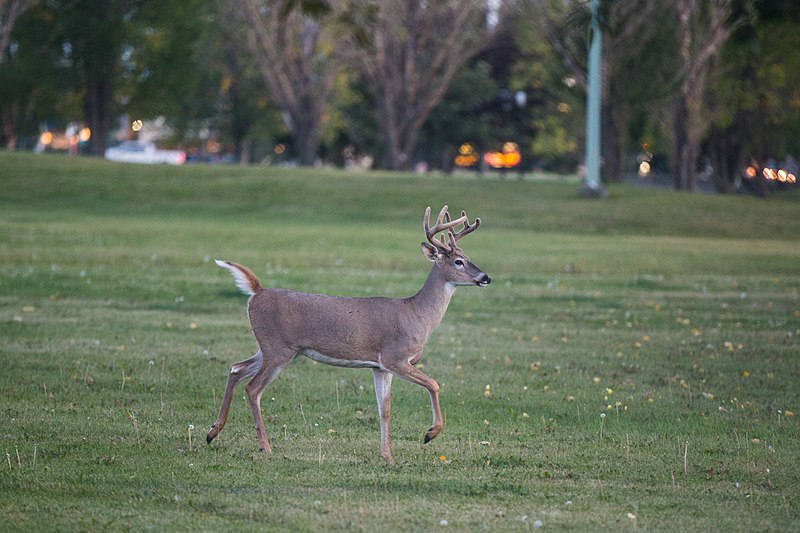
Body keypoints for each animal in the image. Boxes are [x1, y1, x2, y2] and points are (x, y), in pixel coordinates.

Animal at [206, 204, 490, 462]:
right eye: (458, 261)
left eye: (467, 256)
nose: (486, 277)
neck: (417, 314)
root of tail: (258, 291)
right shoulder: (395, 357)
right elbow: (434, 383)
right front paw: (430, 433)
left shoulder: (380, 367)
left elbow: (384, 409)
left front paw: (387, 456)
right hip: (278, 349)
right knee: (253, 388)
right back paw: (264, 447)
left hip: (274, 348)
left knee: (236, 368)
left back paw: (212, 432)